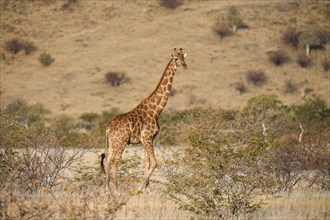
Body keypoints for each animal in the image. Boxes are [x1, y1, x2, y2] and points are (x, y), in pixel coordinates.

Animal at [100, 47, 188, 192]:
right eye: (176, 58)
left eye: (183, 57)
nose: (185, 65)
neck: (156, 110)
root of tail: (108, 128)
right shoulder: (147, 137)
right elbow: (154, 163)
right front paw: (139, 188)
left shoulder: (147, 139)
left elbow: (147, 162)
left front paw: (147, 190)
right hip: (121, 142)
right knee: (115, 161)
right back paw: (116, 190)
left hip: (112, 143)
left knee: (107, 160)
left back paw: (107, 189)